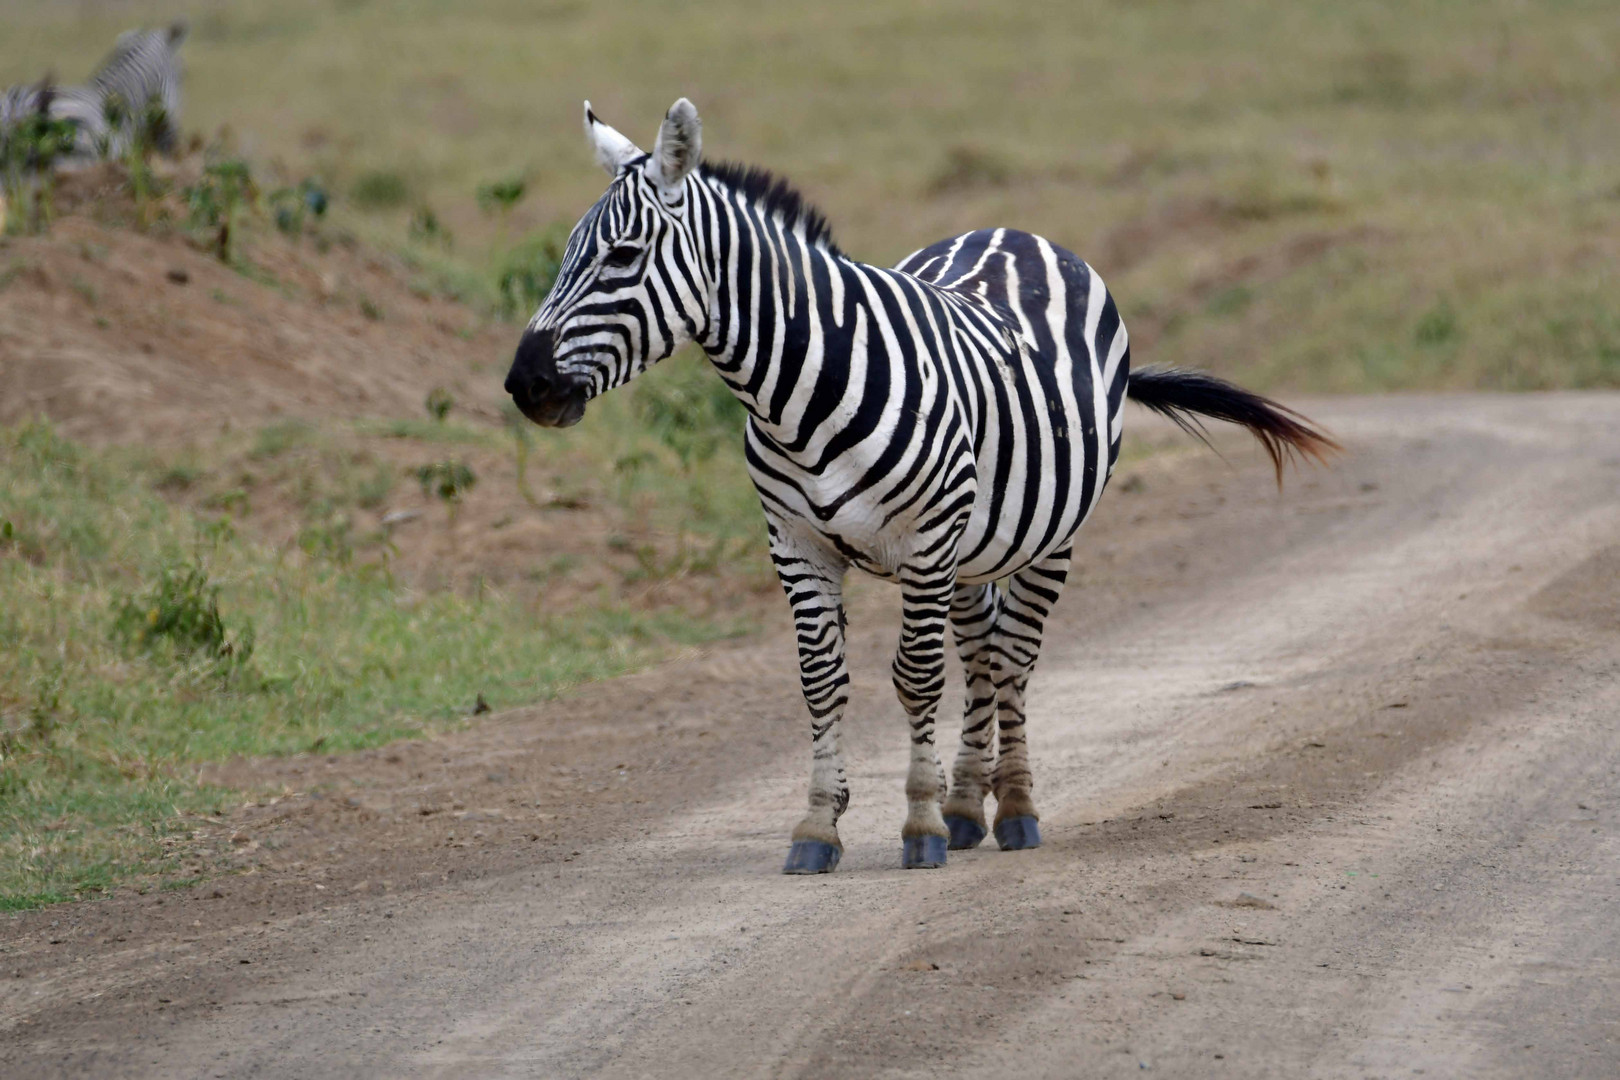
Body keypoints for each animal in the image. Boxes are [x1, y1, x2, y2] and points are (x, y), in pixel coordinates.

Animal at [498, 99, 1334, 880]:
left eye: (622, 255)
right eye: (566, 253)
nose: (524, 384)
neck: (799, 390)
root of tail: (1016, 231)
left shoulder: (926, 541)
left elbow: (916, 677)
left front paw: (920, 825)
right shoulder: (796, 544)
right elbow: (822, 681)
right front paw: (820, 826)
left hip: (1048, 537)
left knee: (1015, 656)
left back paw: (1014, 808)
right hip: (972, 550)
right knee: (984, 651)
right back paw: (969, 804)